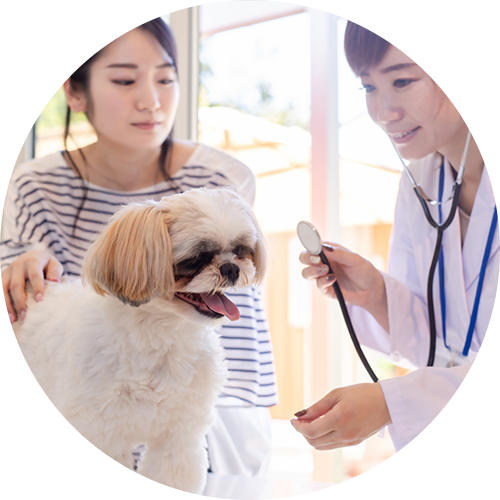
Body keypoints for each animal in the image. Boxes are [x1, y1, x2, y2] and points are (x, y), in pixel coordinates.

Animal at [0, 187, 267, 500]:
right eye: (196, 258)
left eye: (240, 250)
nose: (231, 268)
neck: (161, 334)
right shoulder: (95, 436)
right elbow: (105, 486)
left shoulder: (178, 436)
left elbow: (167, 481)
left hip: (25, 397)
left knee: (27, 437)